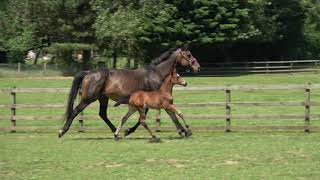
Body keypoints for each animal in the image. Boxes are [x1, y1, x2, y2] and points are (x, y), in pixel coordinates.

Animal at [58, 47, 199, 137]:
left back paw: (116, 131)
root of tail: (87, 73)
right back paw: (62, 131)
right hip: (88, 98)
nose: (197, 66)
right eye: (188, 55)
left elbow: (169, 115)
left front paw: (183, 131)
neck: (156, 73)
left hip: (103, 98)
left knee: (102, 114)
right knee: (75, 111)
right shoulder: (154, 101)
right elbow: (148, 117)